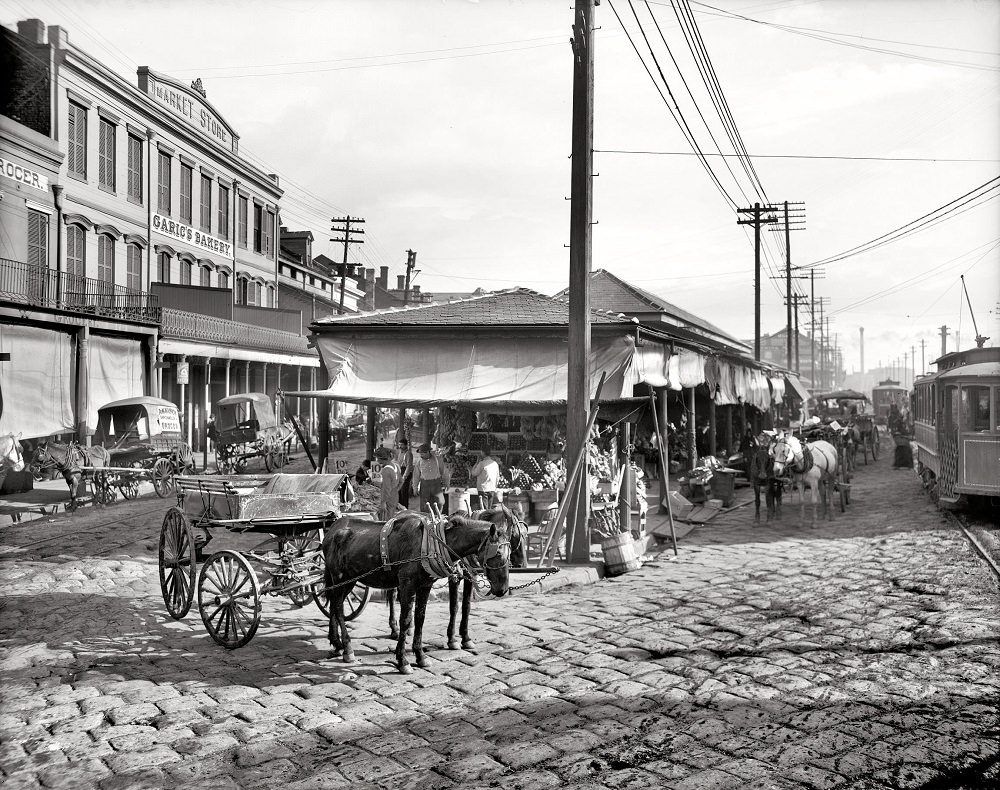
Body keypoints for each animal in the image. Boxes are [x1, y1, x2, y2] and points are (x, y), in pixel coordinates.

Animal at [322, 512, 508, 676]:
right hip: (341, 578)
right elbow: (406, 620)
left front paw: (420, 656)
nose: (503, 589)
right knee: (338, 607)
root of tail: (332, 529)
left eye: (509, 553)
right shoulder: (407, 584)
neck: (430, 543)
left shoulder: (425, 585)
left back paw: (336, 643)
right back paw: (347, 649)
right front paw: (402, 661)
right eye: (498, 553)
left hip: (348, 580)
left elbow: (420, 618)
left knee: (334, 605)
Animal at [388, 504, 532, 652]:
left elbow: (466, 606)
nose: (522, 565)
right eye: (515, 535)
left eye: (526, 534)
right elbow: (454, 606)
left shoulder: (470, 577)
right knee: (392, 595)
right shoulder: (454, 578)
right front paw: (452, 640)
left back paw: (409, 628)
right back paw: (395, 629)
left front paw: (466, 638)